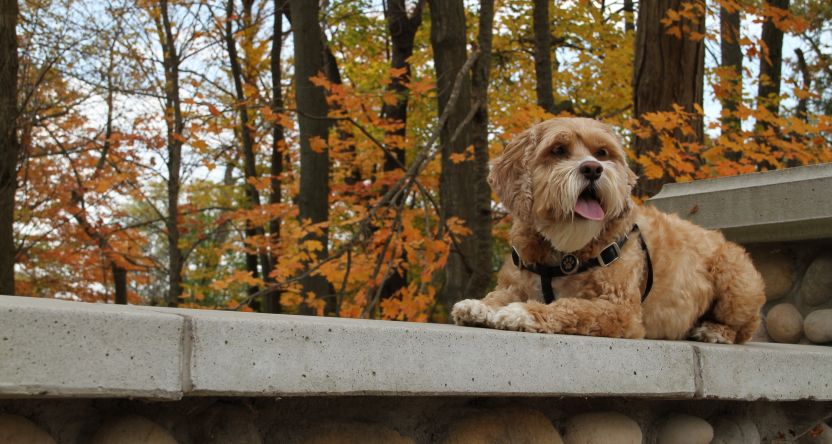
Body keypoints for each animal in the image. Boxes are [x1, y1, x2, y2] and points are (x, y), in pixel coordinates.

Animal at [456, 118, 768, 344]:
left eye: (601, 153)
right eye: (558, 150)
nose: (593, 168)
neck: (562, 249)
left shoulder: (621, 309)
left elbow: (573, 307)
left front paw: (524, 312)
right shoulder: (515, 285)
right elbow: (498, 297)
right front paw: (479, 306)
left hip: (735, 281)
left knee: (744, 330)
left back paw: (714, 331)